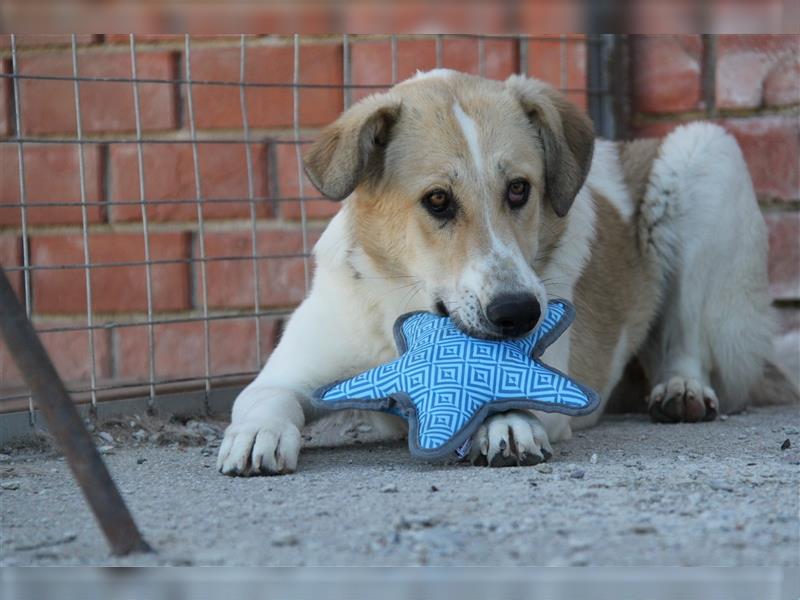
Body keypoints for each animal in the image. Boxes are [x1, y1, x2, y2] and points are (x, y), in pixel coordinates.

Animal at [214, 69, 792, 474]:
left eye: (518, 189)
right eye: (438, 200)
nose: (519, 314)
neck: (408, 319)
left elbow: (511, 391)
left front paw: (505, 423)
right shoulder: (288, 373)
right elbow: (265, 400)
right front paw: (258, 435)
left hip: (704, 156)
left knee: (686, 339)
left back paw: (681, 390)